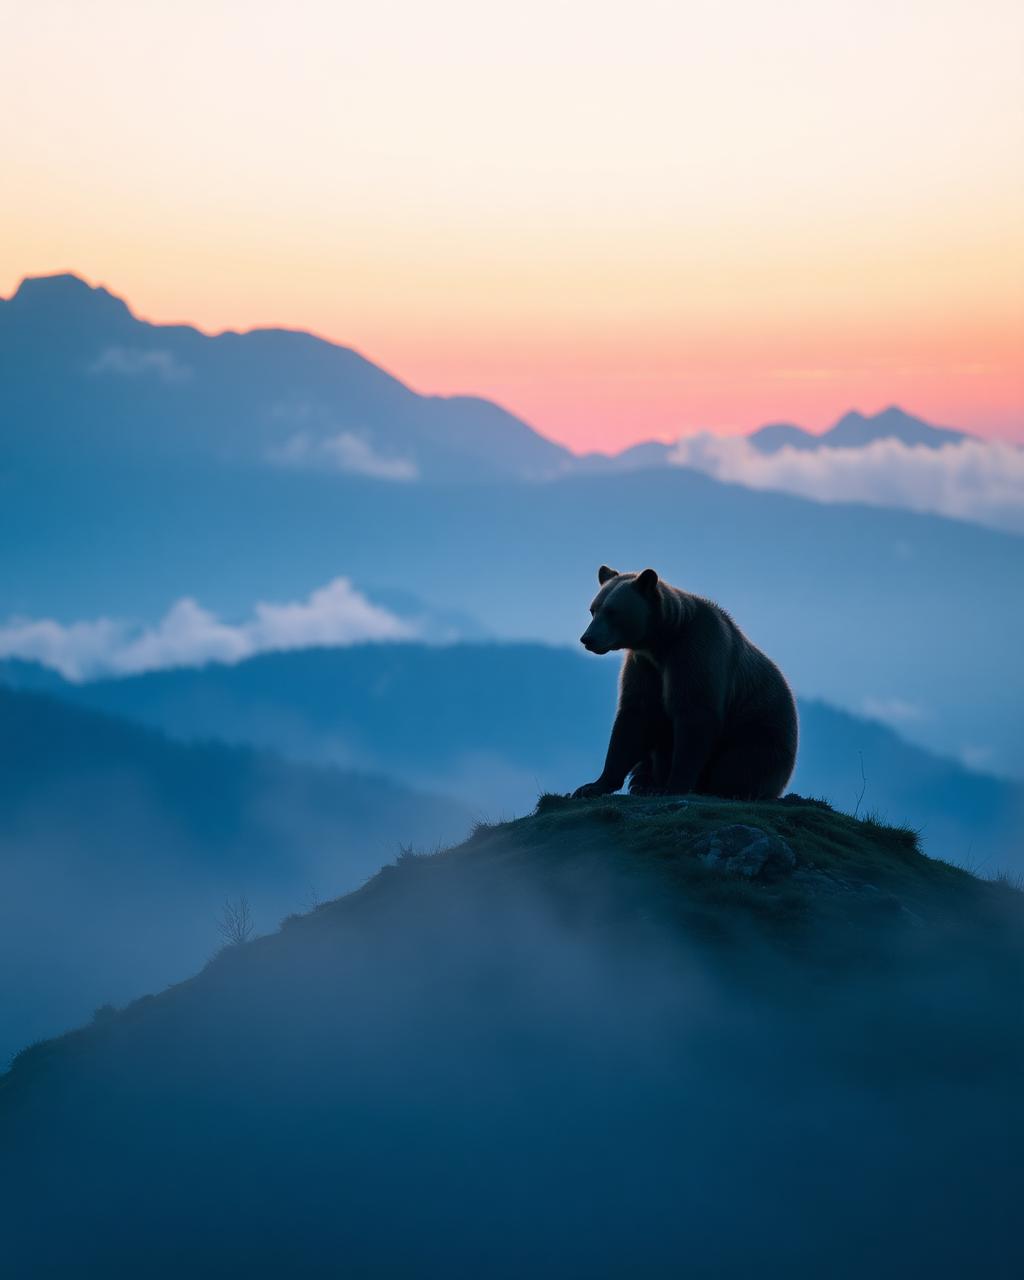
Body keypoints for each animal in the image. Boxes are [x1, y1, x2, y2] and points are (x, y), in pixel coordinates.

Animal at [573, 566, 798, 800]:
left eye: (612, 611)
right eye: (593, 610)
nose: (588, 638)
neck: (661, 641)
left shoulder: (695, 653)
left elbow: (694, 715)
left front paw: (672, 786)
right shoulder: (644, 666)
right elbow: (635, 718)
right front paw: (592, 785)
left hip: (761, 730)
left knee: (742, 764)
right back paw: (642, 783)